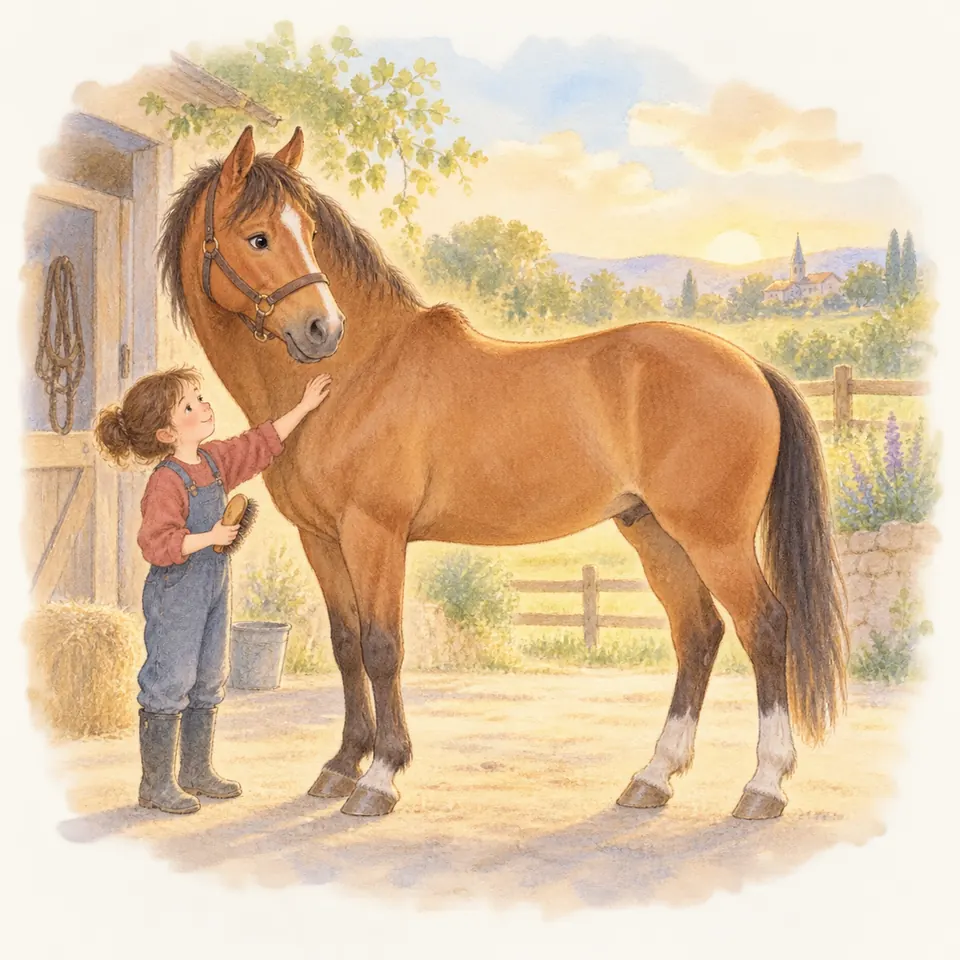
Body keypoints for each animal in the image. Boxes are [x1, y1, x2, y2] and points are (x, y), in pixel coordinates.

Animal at [158, 125, 848, 820]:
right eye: (259, 236)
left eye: (306, 232)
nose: (322, 329)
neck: (357, 374)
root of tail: (751, 366)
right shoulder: (321, 539)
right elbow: (346, 645)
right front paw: (341, 766)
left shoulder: (374, 534)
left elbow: (383, 648)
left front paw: (380, 777)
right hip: (654, 530)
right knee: (697, 632)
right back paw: (653, 777)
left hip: (714, 537)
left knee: (765, 626)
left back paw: (763, 785)